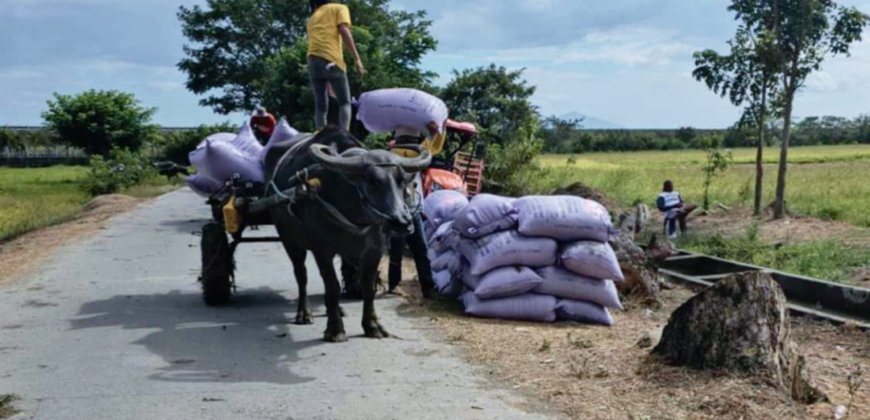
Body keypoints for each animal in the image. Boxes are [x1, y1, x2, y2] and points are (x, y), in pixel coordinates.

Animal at [266, 125, 430, 342]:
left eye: (401, 180)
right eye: (371, 180)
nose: (401, 222)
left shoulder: (374, 250)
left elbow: (368, 288)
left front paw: (372, 325)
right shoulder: (322, 250)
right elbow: (333, 287)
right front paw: (335, 329)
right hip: (289, 240)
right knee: (301, 275)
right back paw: (304, 313)